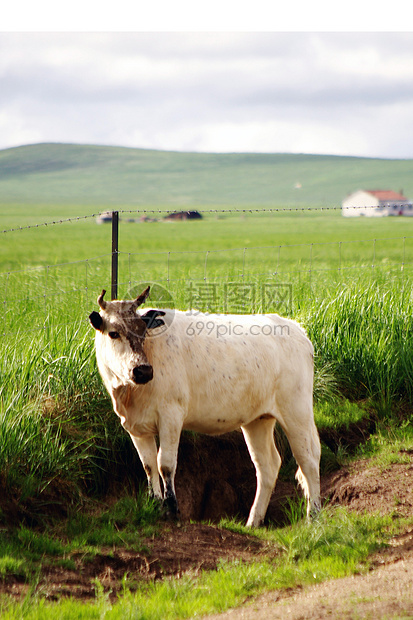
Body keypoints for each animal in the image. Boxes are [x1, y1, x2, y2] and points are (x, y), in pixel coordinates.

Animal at [90, 288, 320, 524]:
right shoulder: (136, 426)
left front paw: (171, 509)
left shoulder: (171, 415)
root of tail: (295, 328)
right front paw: (155, 504)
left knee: (309, 460)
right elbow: (149, 465)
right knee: (267, 466)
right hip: (258, 419)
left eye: (143, 332)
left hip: (297, 412)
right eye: (113, 333)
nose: (143, 370)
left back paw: (313, 517)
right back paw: (253, 522)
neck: (130, 395)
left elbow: (165, 463)